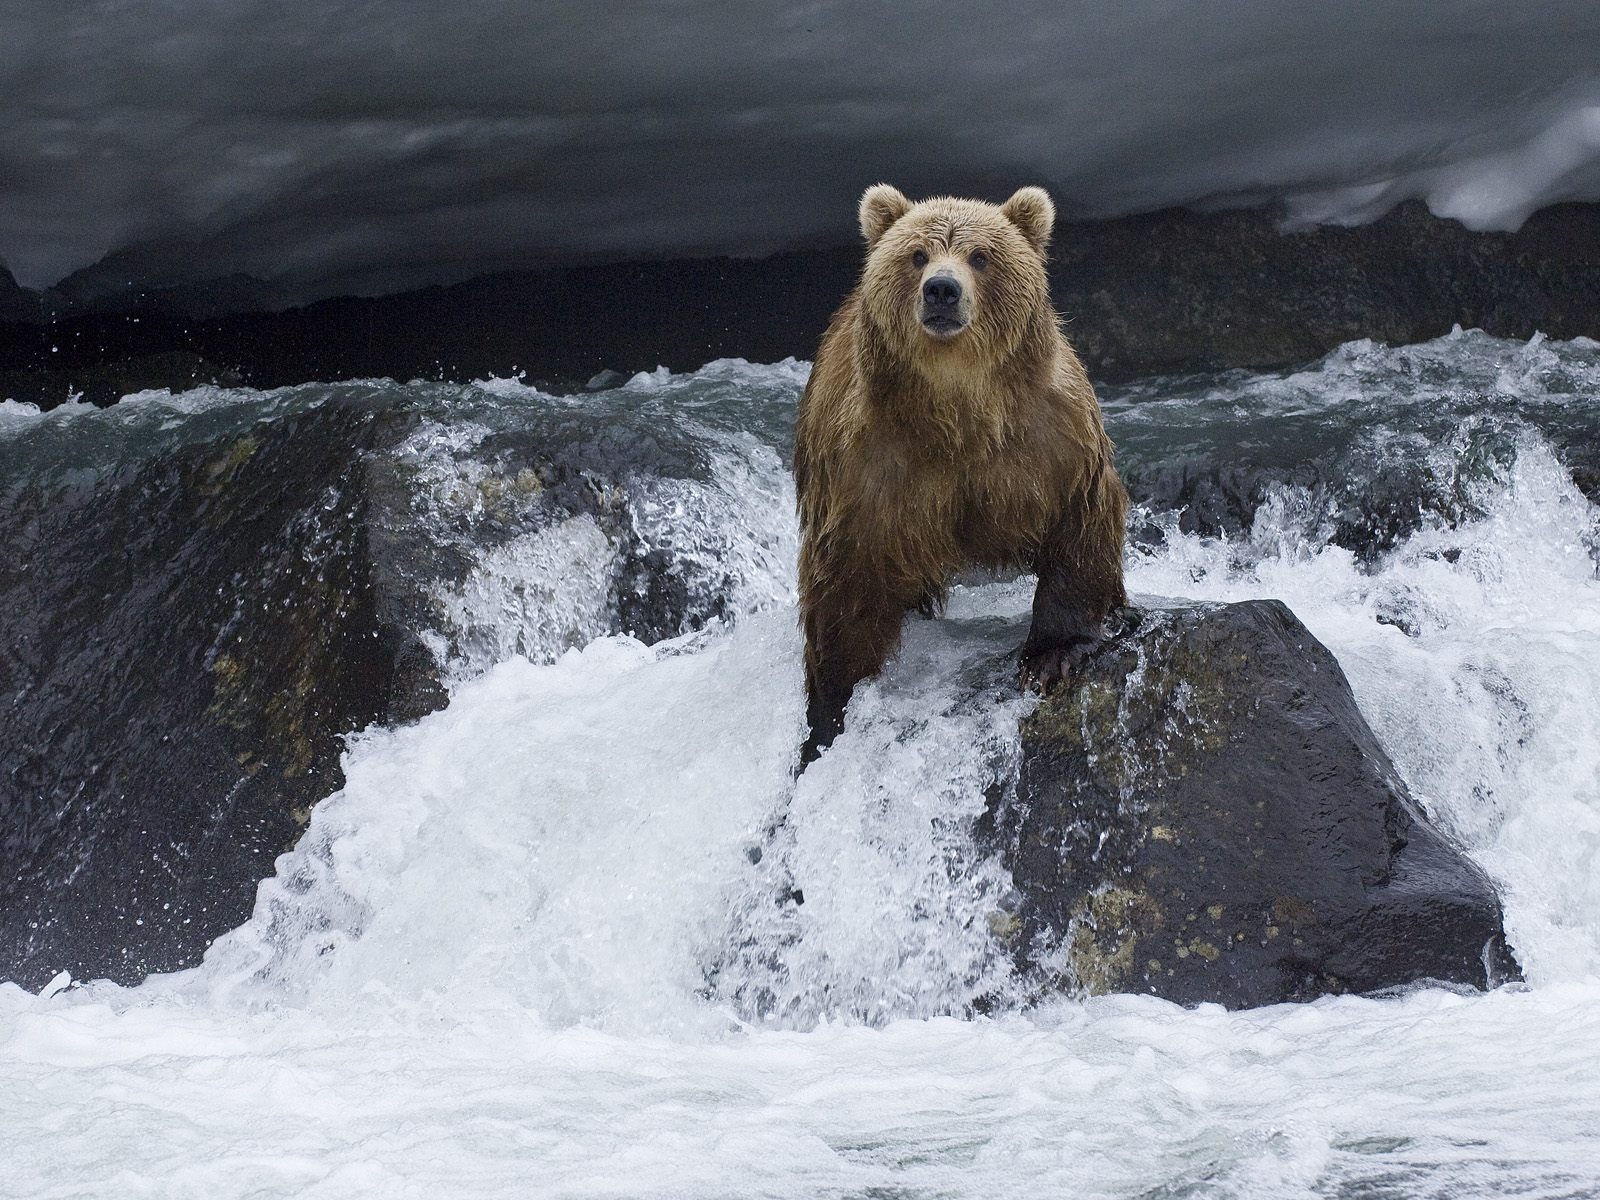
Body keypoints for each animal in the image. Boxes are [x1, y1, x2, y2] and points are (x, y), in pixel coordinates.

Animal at [796, 188, 1126, 764]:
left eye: (980, 256)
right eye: (918, 255)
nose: (942, 290)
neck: (958, 409)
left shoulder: (1050, 437)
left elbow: (1079, 524)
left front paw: (1052, 656)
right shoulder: (867, 464)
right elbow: (845, 580)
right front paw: (830, 709)